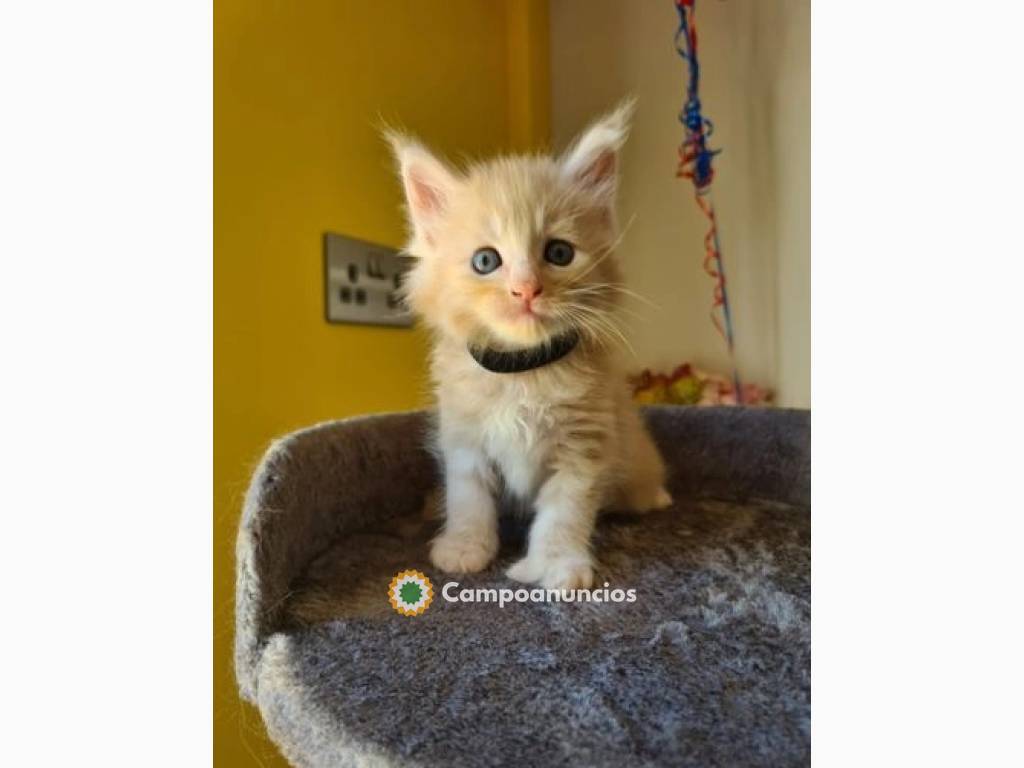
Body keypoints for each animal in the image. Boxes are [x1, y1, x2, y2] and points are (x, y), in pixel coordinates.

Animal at [387, 102, 667, 593]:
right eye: (486, 261)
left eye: (558, 253)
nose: (526, 290)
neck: (523, 372)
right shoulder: (464, 439)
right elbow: (468, 499)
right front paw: (465, 547)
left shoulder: (583, 446)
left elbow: (563, 513)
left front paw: (556, 565)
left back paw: (656, 496)